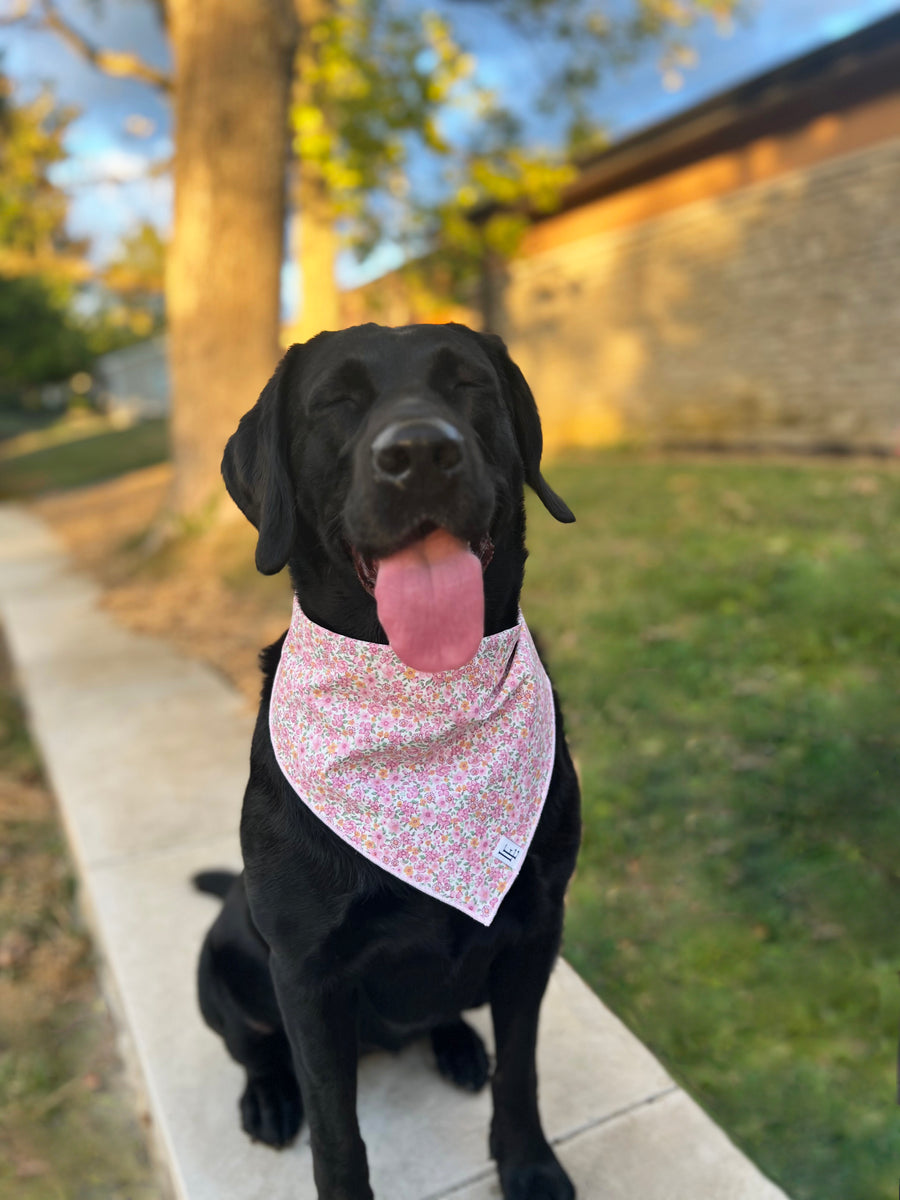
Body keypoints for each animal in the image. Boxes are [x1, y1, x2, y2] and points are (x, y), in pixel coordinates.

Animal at [196, 324, 585, 1195]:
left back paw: (457, 1045)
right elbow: (336, 1132)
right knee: (251, 1046)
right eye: (335, 401)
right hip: (220, 963)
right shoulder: (304, 971)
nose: (420, 453)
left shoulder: (537, 925)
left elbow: (522, 1069)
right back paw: (267, 1097)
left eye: (468, 383)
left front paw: (529, 1164)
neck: (422, 702)